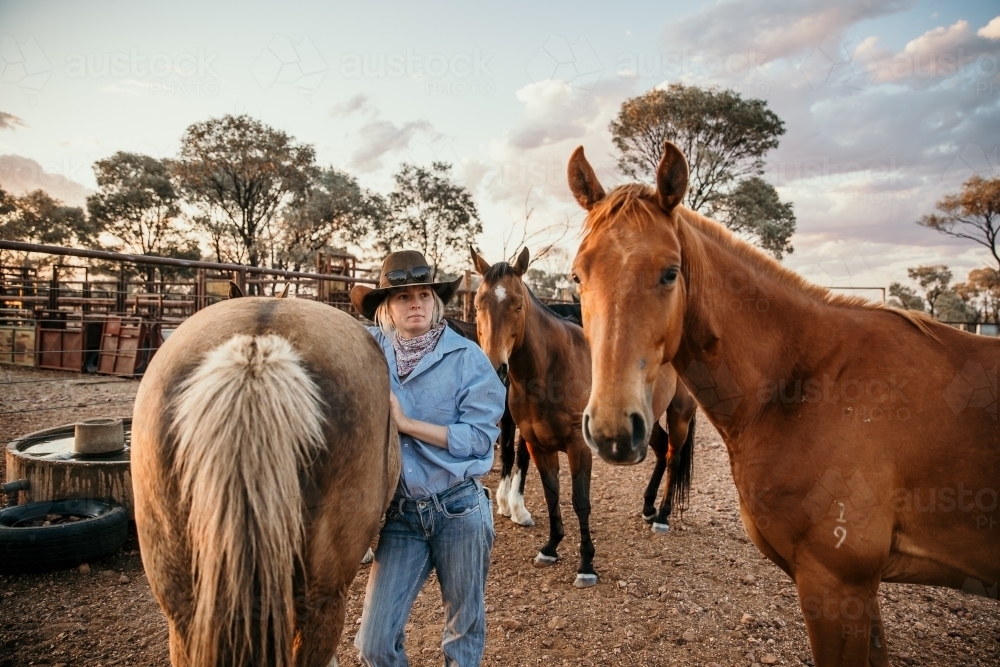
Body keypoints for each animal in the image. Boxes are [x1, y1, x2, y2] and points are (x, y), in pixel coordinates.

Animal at [470, 247, 696, 588]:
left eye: (517, 305)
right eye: (478, 304)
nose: (495, 369)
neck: (551, 369)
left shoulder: (579, 446)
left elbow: (580, 501)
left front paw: (586, 565)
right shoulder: (538, 446)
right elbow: (551, 495)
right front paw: (550, 548)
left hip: (680, 414)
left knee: (673, 456)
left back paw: (663, 516)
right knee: (662, 450)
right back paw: (648, 507)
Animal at [568, 144, 996, 667]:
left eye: (670, 272)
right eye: (577, 276)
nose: (611, 429)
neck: (806, 381)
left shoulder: (838, 584)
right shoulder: (862, 589)